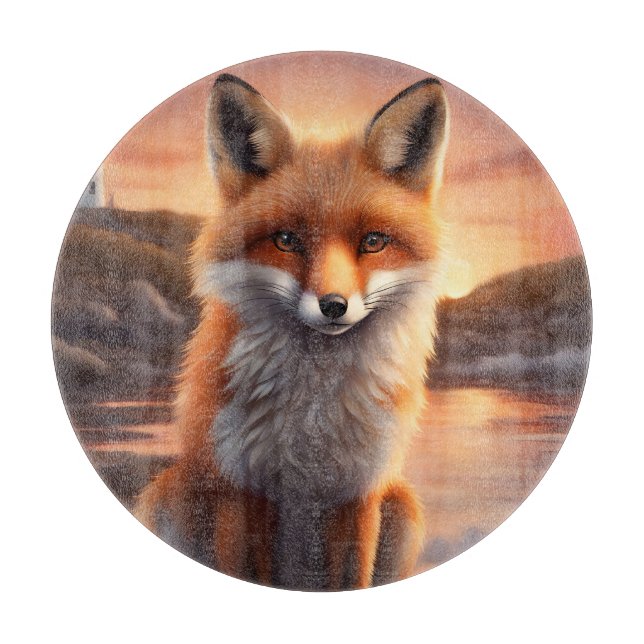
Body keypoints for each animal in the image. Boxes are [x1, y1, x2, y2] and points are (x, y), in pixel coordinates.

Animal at [134, 72, 450, 590]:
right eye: (286, 240)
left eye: (373, 242)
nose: (334, 305)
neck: (311, 422)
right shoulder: (239, 487)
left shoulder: (359, 492)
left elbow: (354, 577)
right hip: (172, 494)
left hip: (403, 509)